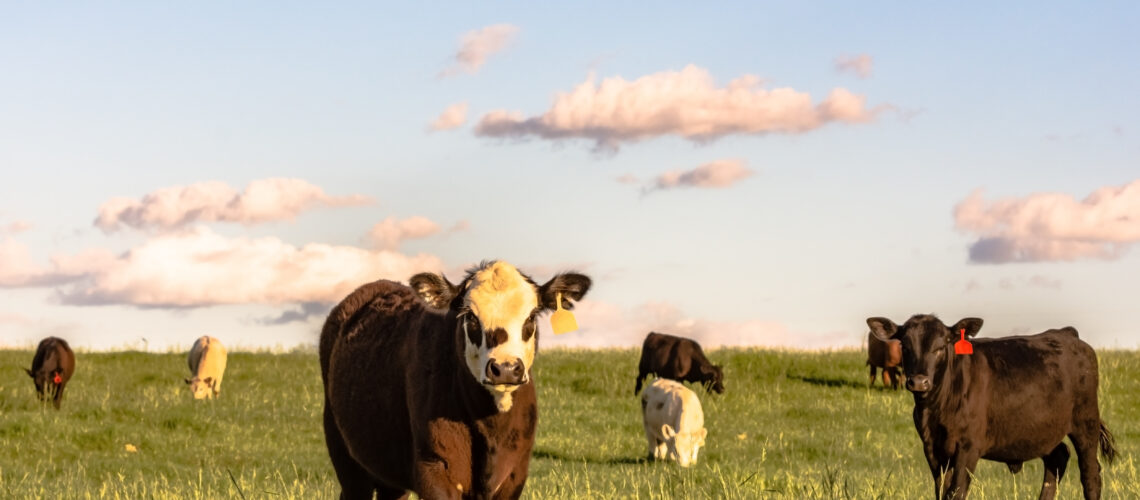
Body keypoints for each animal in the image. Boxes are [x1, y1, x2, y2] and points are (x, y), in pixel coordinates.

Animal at [320, 260, 591, 499]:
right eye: (470, 317)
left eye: (532, 316)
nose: (505, 368)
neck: (491, 429)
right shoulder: (434, 469)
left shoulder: (514, 474)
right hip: (344, 454)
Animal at [867, 314, 1117, 500]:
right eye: (905, 346)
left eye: (940, 347)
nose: (919, 382)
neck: (935, 410)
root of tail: (1066, 333)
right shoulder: (932, 449)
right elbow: (941, 492)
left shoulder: (968, 447)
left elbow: (956, 492)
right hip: (1041, 430)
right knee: (1057, 459)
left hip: (1086, 422)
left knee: (1090, 475)